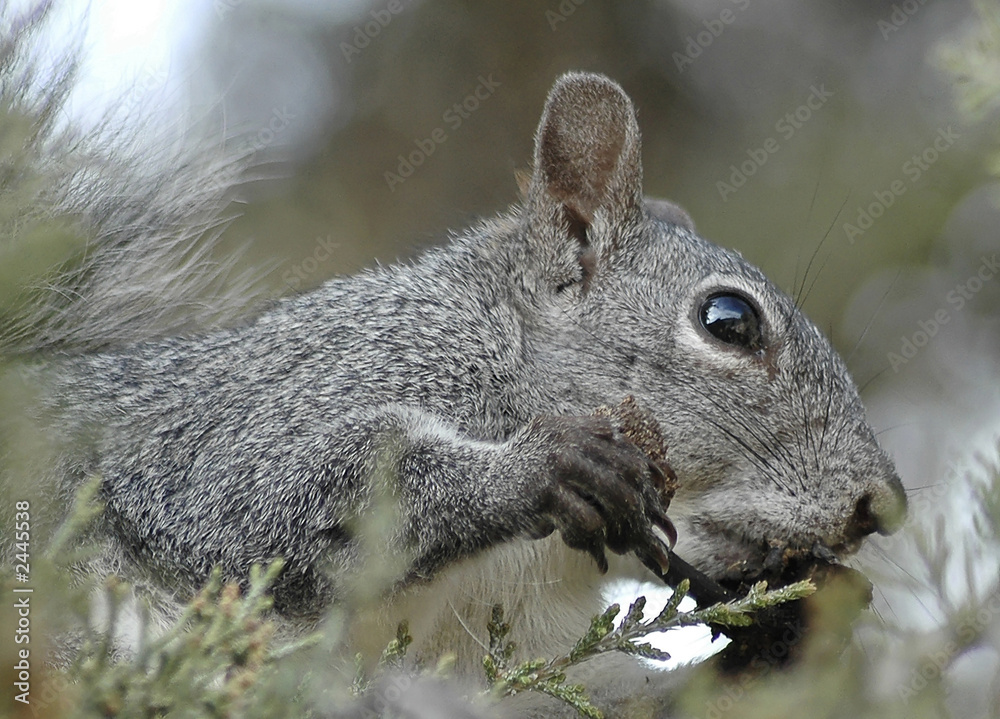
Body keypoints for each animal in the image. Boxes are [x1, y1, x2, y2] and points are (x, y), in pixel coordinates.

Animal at [2, 8, 906, 716]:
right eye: (729, 321)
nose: (883, 504)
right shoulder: (274, 409)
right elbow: (268, 501)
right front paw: (545, 467)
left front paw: (786, 637)